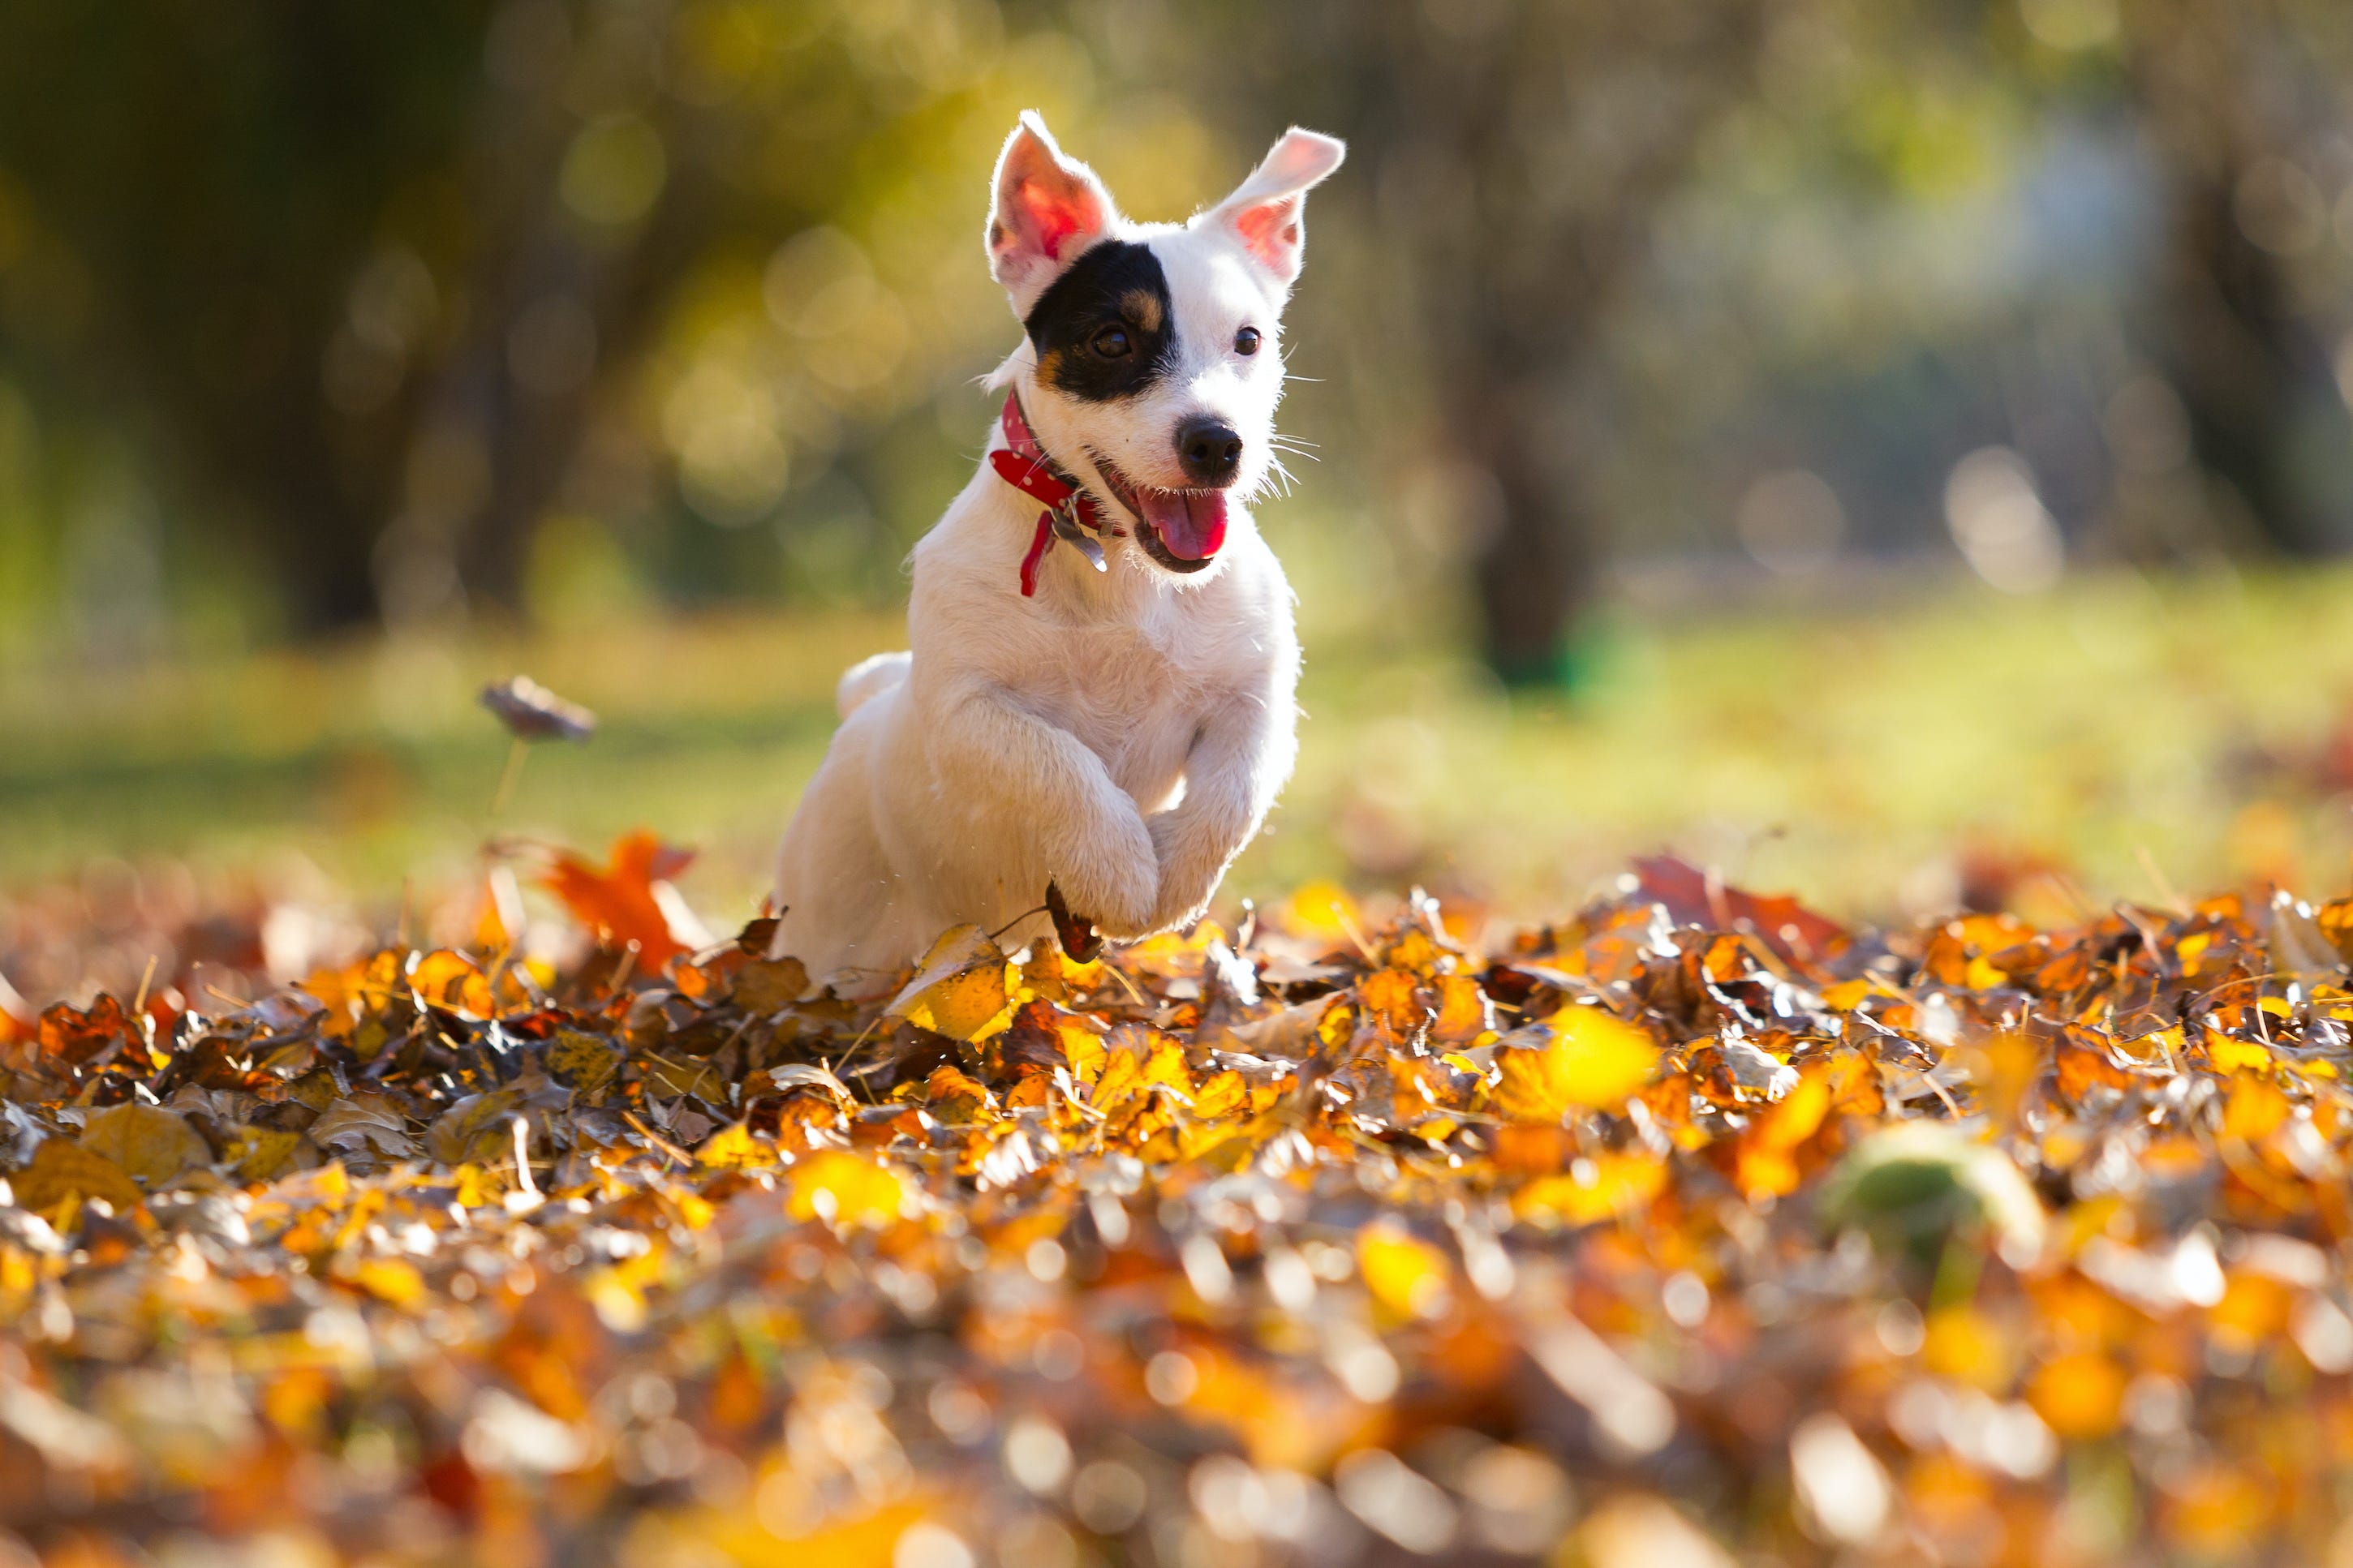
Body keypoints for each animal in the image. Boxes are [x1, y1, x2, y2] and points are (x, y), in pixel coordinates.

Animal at [772, 116, 1345, 987]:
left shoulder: (1257, 702)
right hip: (824, 929)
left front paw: (1173, 876)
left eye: (1249, 340)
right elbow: (1059, 765)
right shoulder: (971, 711)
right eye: (1112, 340)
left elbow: (1231, 799)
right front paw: (1119, 870)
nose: (1219, 443)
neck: (1115, 566)